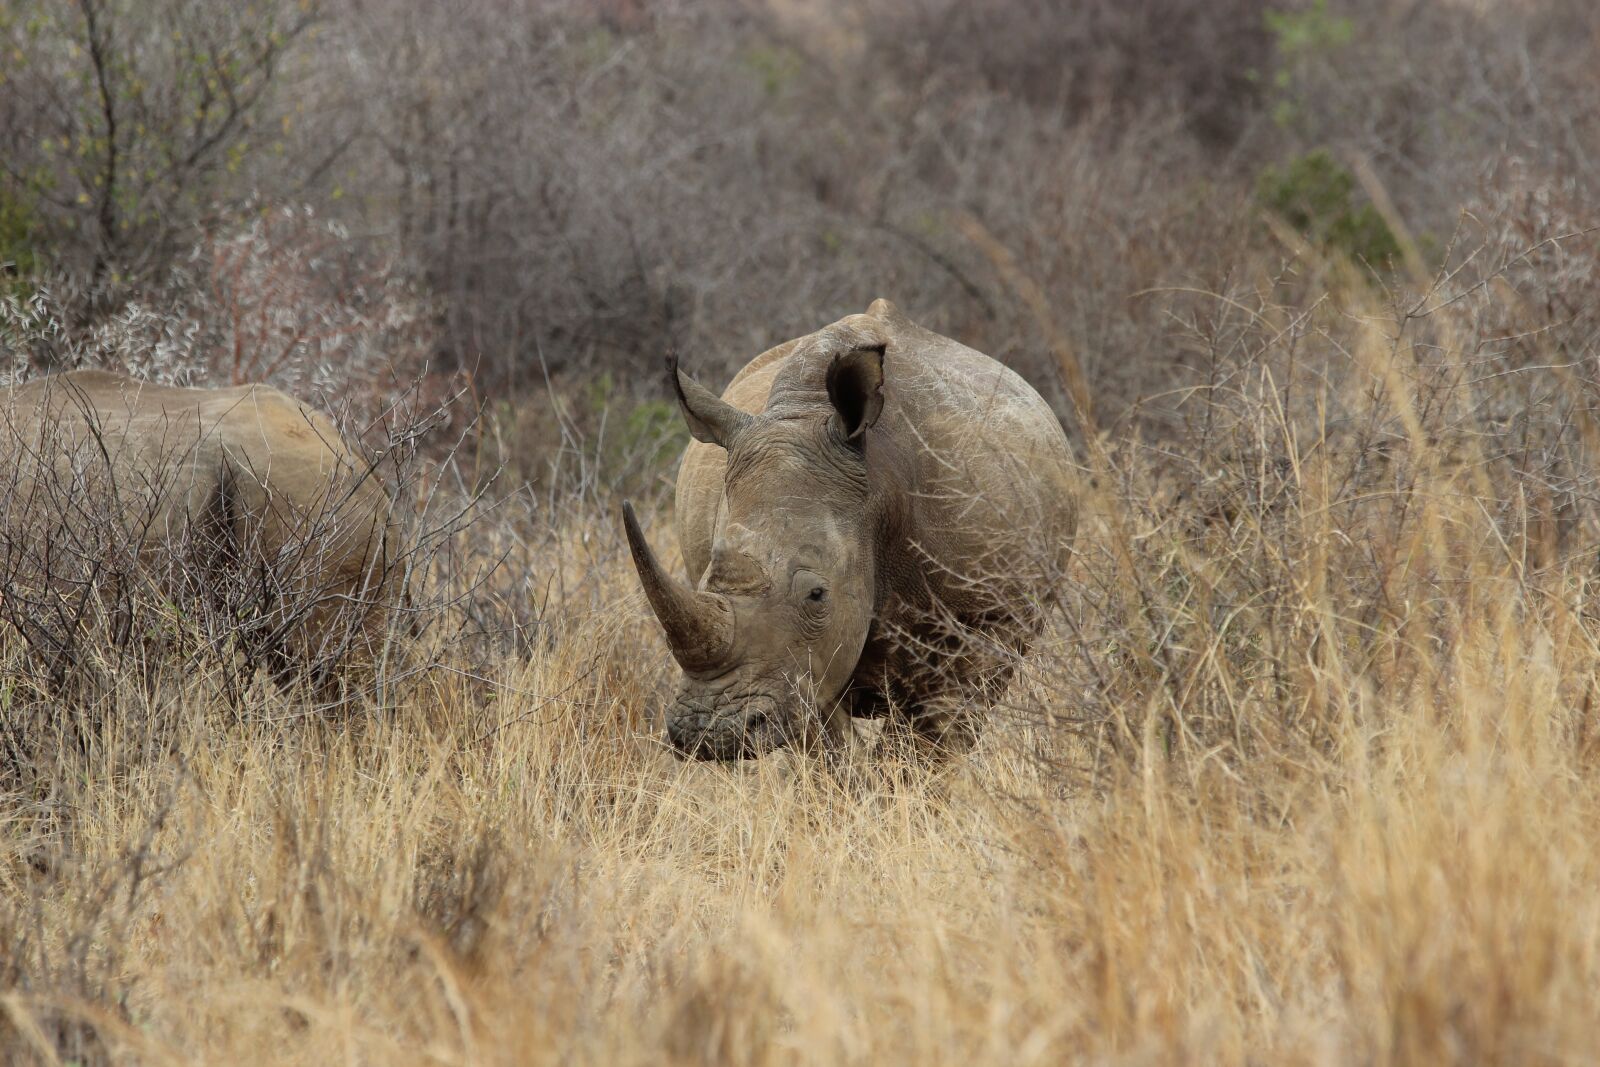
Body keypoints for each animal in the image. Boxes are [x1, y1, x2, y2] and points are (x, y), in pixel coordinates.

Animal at [623, 299, 1079, 760]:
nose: (707, 734)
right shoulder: (799, 667)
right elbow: (827, 741)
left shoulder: (991, 615)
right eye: (703, 581)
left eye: (816, 594)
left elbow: (927, 739)